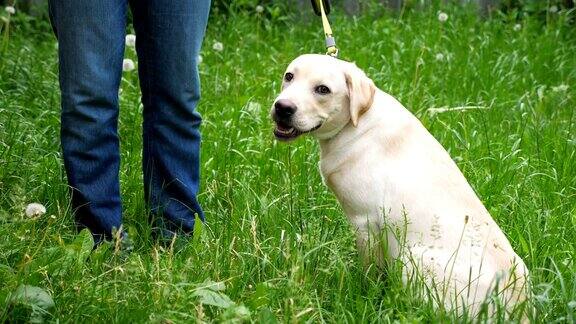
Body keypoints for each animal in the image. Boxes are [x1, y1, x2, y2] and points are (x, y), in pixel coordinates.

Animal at [272, 54, 528, 318]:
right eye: (289, 76)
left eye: (323, 89)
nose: (282, 107)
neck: (358, 121)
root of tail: (516, 308)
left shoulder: (365, 222)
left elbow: (370, 272)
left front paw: (364, 294)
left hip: (412, 258)